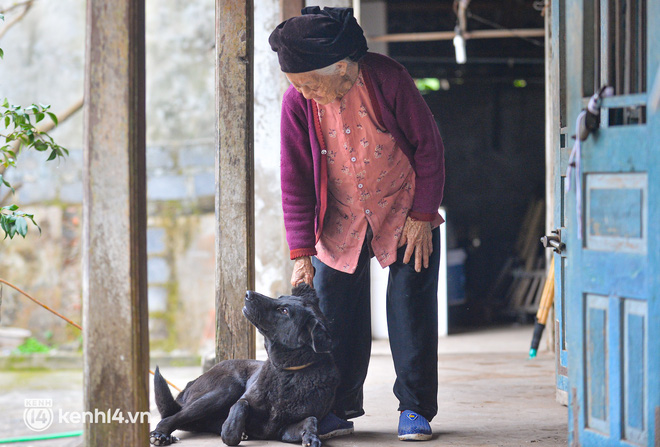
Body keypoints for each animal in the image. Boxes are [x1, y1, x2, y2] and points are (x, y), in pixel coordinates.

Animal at [150, 286, 340, 446]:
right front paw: (232, 431)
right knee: (172, 417)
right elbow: (240, 406)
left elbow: (311, 419)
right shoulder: (244, 402)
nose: (248, 293)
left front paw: (311, 437)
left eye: (284, 311)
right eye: (280, 298)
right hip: (226, 389)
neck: (287, 372)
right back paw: (161, 434)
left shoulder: (283, 430)